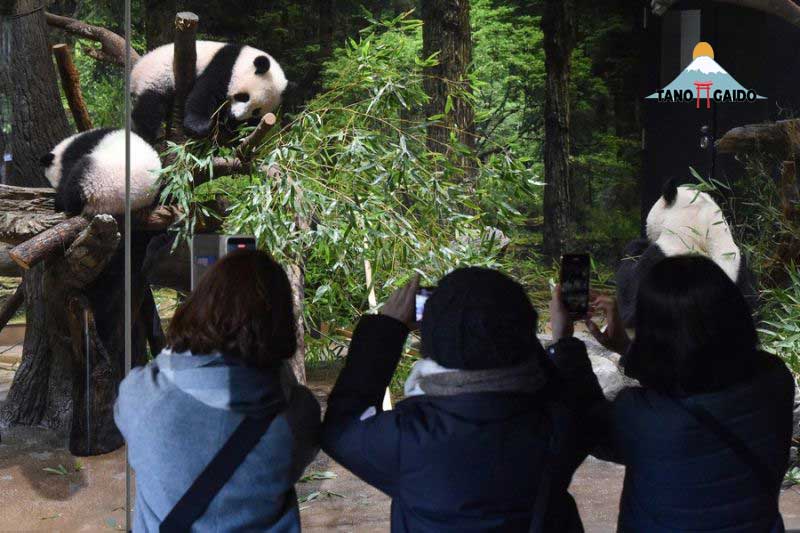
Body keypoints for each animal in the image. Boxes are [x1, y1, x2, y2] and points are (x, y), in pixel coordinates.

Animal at [131, 40, 290, 142]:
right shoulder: (224, 64)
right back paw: (147, 134)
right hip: (156, 77)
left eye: (256, 111)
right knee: (150, 106)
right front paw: (199, 127)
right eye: (244, 97)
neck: (242, 58)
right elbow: (205, 92)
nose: (235, 116)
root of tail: (136, 69)